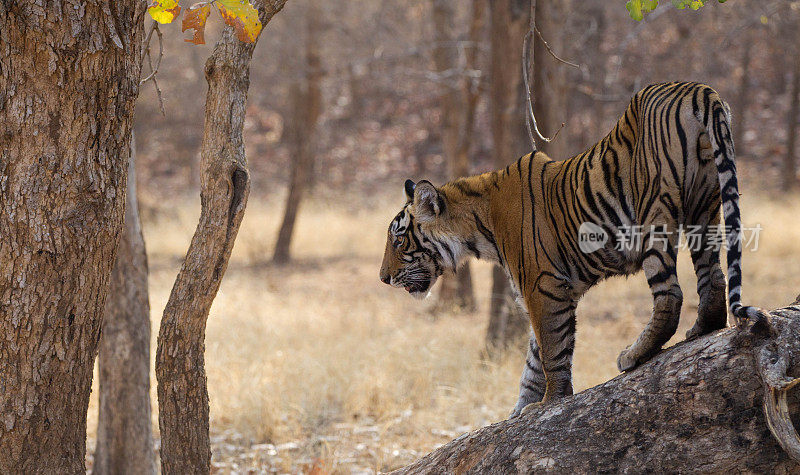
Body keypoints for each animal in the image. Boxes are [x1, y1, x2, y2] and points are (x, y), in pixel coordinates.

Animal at [378, 83, 764, 418]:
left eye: (398, 240)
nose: (383, 278)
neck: (479, 227)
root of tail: (697, 89)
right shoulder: (548, 291)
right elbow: (534, 362)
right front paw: (518, 413)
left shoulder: (543, 287)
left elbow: (551, 353)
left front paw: (549, 403)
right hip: (705, 207)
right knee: (713, 277)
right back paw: (700, 330)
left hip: (654, 211)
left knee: (669, 296)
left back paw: (633, 355)